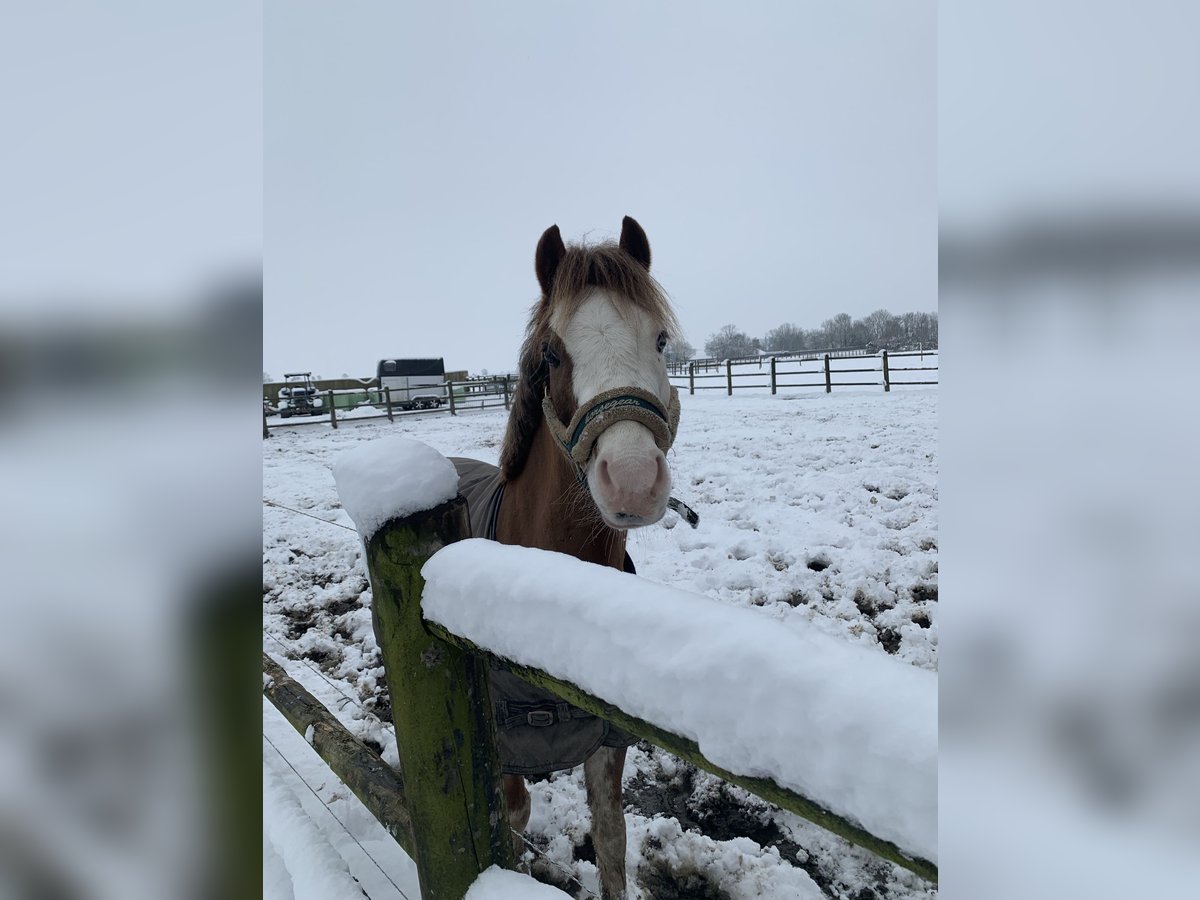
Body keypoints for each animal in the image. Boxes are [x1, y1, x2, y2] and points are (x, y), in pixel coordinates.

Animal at [451, 218, 686, 900]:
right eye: (553, 354)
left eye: (660, 339)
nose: (632, 480)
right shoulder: (499, 748)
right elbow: (510, 826)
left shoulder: (607, 741)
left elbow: (611, 842)